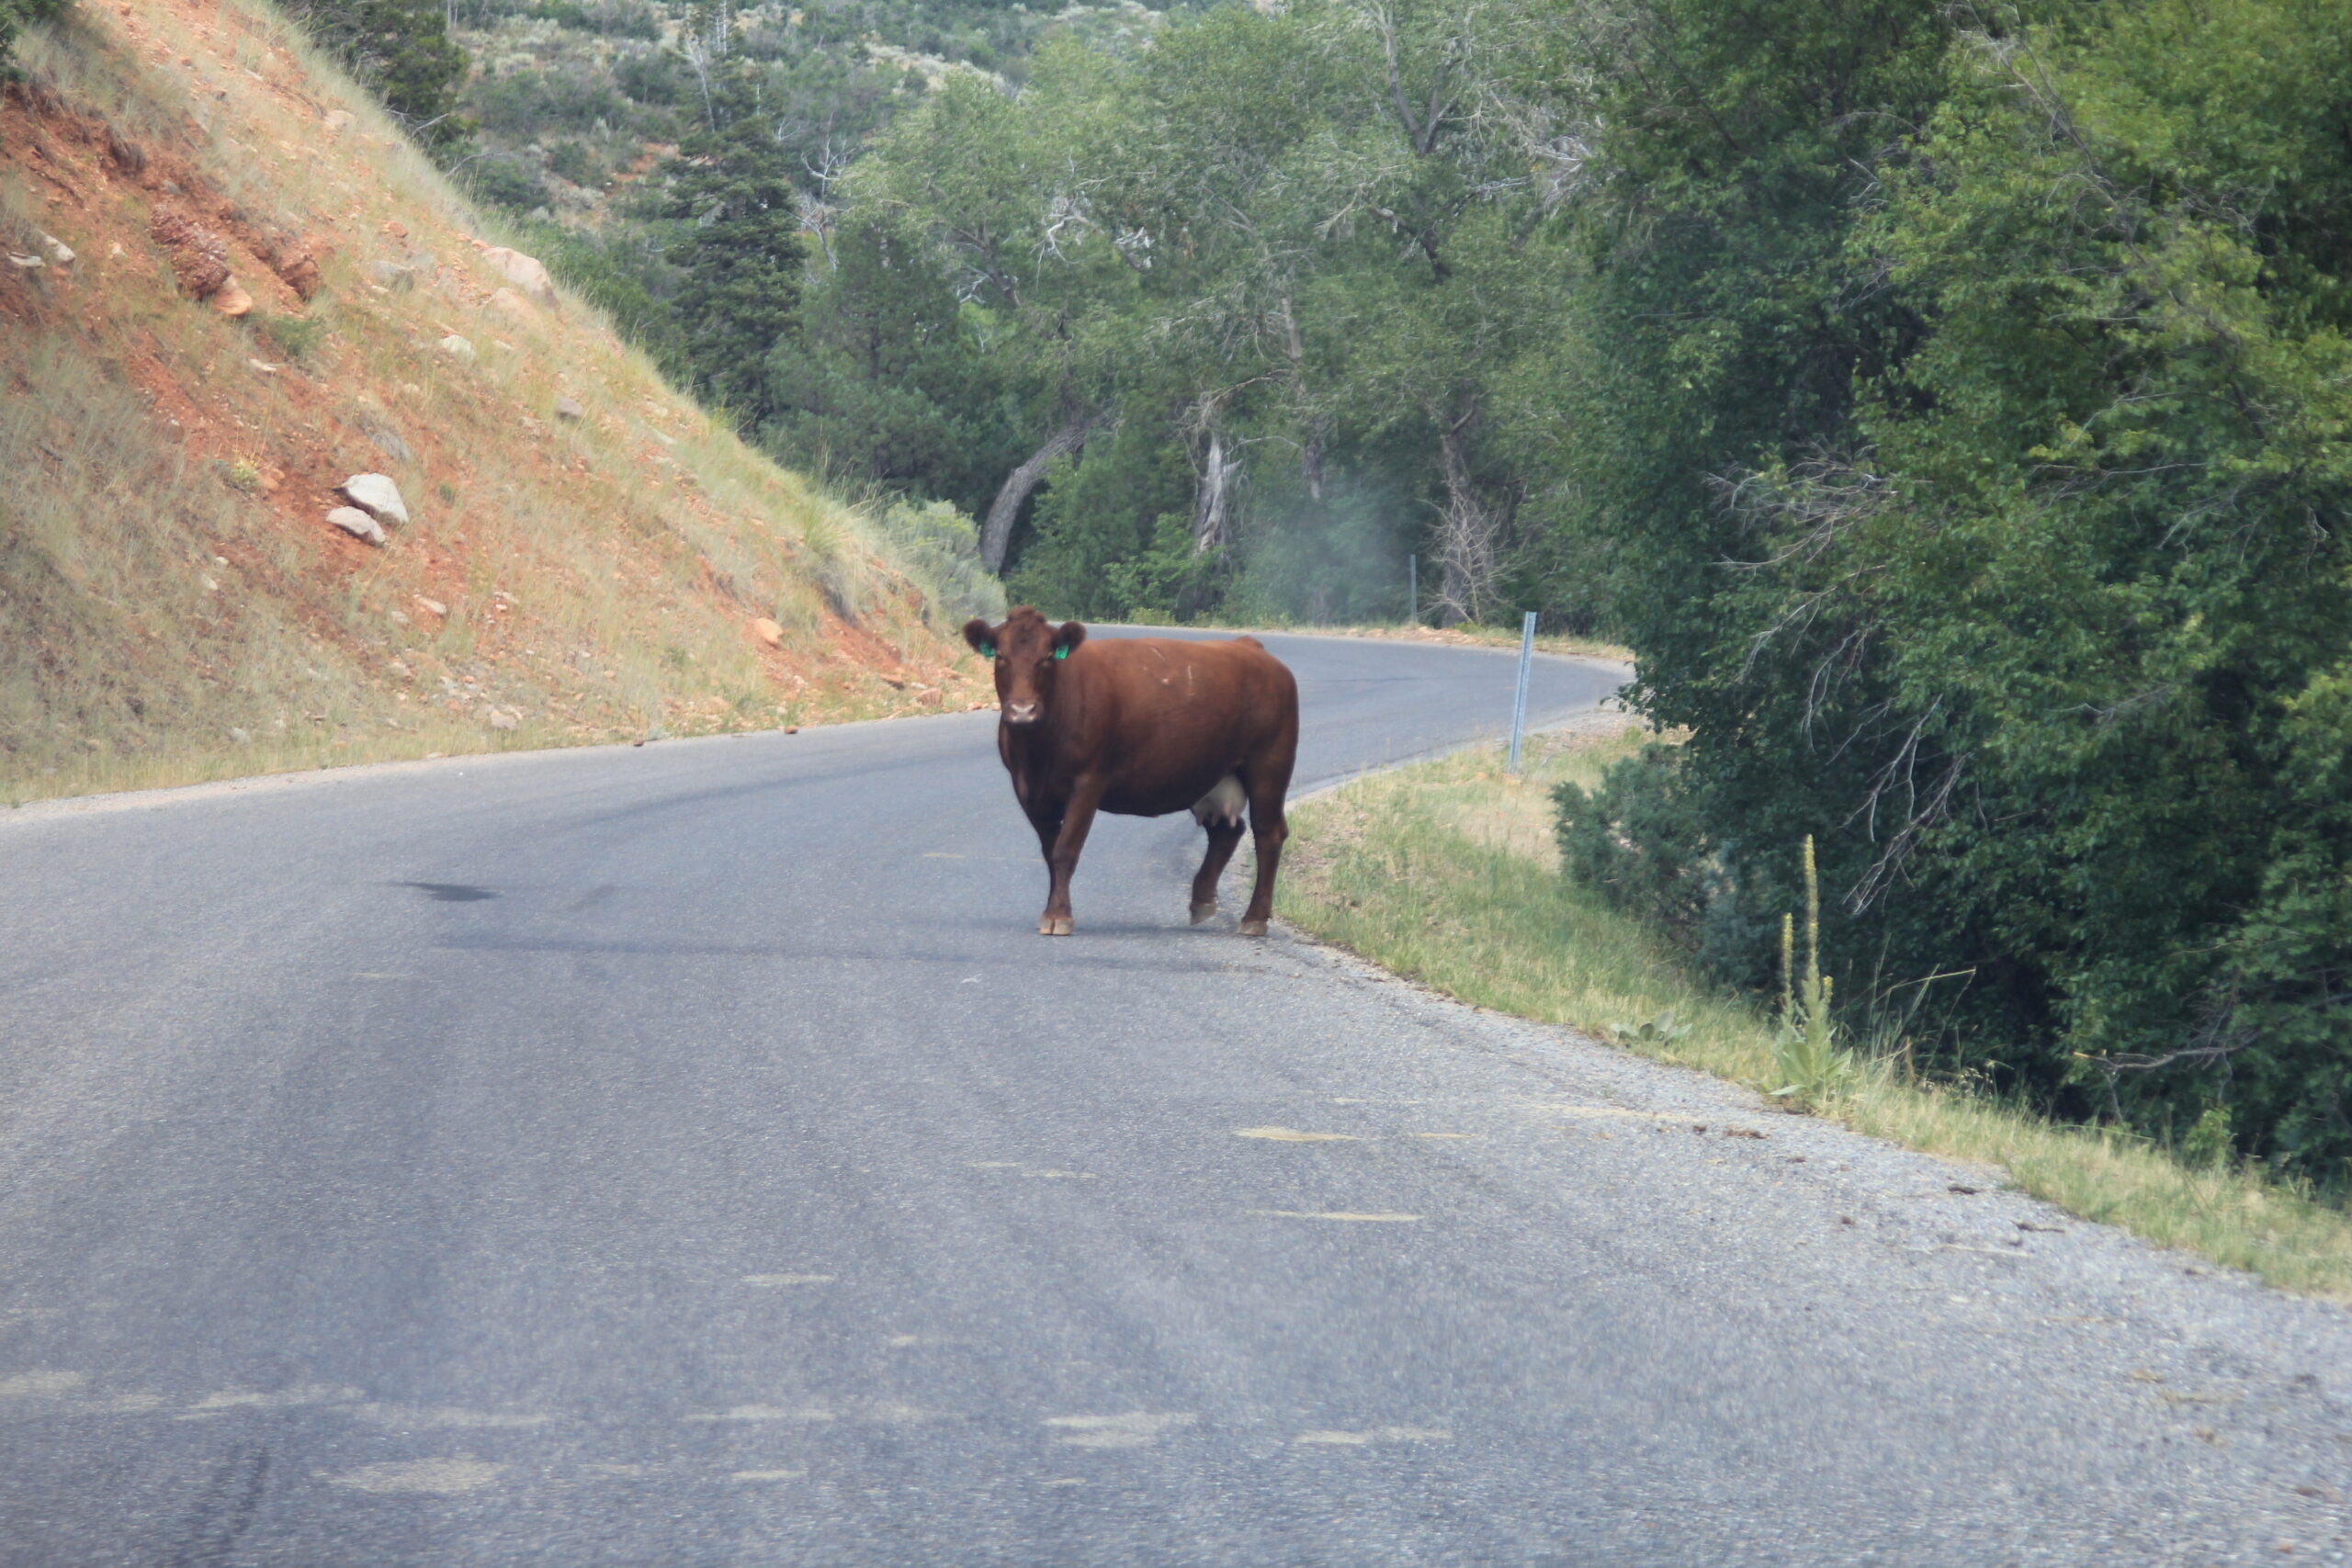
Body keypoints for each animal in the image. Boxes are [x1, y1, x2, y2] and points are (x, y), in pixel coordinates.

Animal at [964, 611, 1307, 931]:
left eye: (1048, 657)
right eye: (1001, 656)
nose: (1022, 711)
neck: (1038, 752)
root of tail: (1249, 646)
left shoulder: (1089, 781)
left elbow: (1065, 849)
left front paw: (1058, 915)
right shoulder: (1028, 789)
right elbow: (1050, 852)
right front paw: (1053, 910)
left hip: (1269, 765)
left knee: (1268, 833)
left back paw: (1254, 919)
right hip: (1210, 774)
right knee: (1227, 831)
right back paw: (1202, 902)